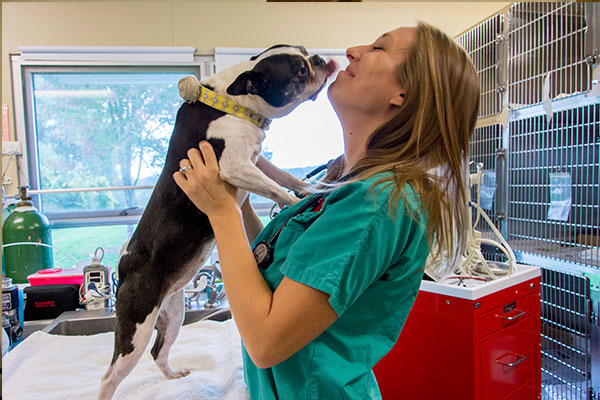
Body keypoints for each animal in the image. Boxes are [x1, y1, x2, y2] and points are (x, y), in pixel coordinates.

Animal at [98, 45, 337, 400]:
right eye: (299, 71)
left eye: (306, 53)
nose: (320, 59)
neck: (232, 101)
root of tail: (125, 264)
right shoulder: (235, 165)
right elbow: (277, 186)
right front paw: (297, 203)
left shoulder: (256, 159)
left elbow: (283, 176)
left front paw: (315, 188)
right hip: (135, 327)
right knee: (111, 376)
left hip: (173, 313)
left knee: (159, 351)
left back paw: (173, 375)